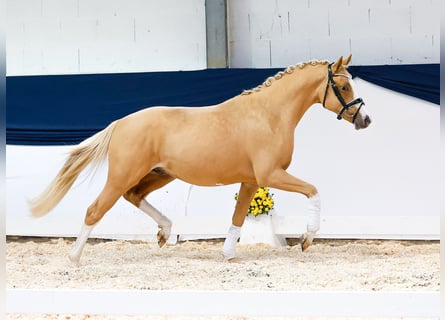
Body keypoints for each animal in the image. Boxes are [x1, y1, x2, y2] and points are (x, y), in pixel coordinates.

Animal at [28, 53, 372, 262]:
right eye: (343, 86)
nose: (365, 120)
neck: (268, 115)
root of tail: (121, 123)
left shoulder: (251, 181)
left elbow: (237, 217)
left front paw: (229, 254)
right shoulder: (269, 174)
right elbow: (313, 191)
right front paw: (306, 239)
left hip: (159, 174)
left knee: (134, 195)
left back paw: (165, 232)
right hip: (123, 174)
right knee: (95, 209)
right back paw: (74, 257)